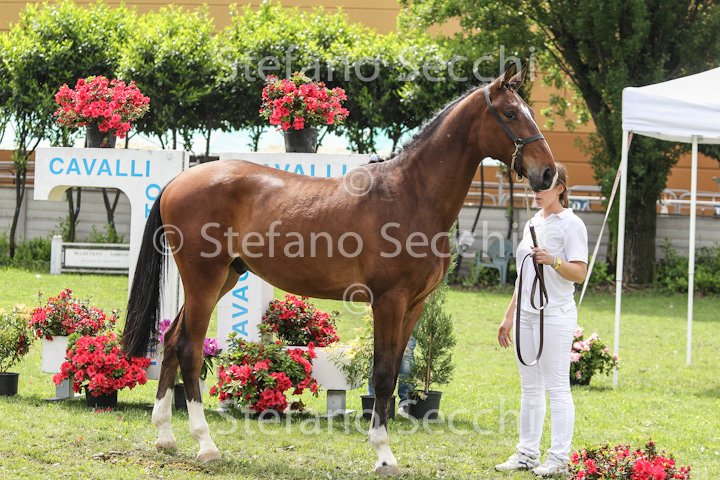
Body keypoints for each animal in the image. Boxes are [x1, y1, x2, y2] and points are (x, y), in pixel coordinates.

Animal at [121, 63, 556, 475]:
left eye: (529, 112)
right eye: (511, 113)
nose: (549, 173)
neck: (411, 194)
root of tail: (180, 178)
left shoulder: (414, 305)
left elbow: (393, 375)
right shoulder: (388, 301)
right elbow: (382, 374)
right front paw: (383, 455)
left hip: (224, 277)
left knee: (171, 340)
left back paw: (165, 437)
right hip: (204, 280)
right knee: (189, 348)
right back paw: (206, 444)